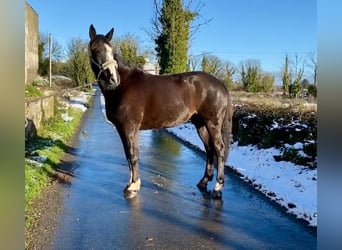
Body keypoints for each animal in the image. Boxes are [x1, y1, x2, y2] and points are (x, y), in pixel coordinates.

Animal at [88, 24, 232, 199]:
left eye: (111, 49)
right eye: (96, 49)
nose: (113, 78)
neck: (122, 86)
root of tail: (221, 85)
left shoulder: (130, 127)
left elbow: (133, 155)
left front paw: (134, 186)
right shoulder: (123, 129)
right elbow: (128, 155)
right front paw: (131, 183)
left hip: (213, 123)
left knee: (219, 149)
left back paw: (217, 189)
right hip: (201, 124)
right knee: (209, 149)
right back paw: (203, 182)